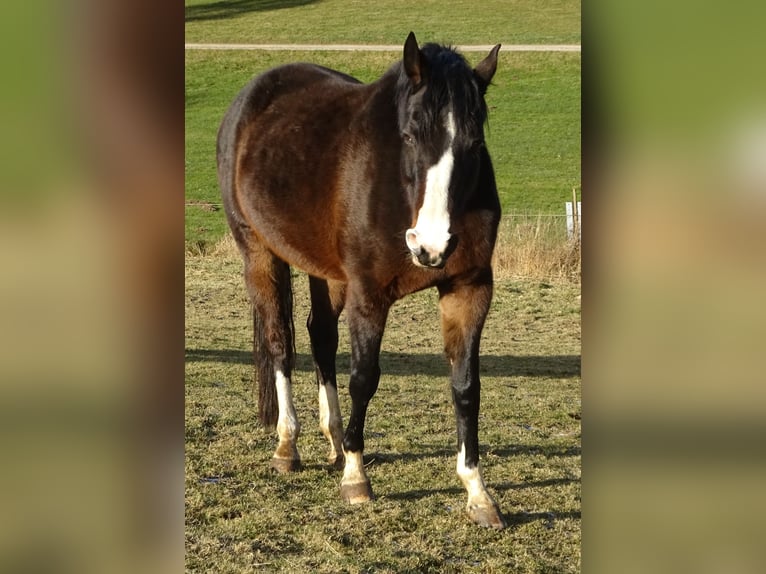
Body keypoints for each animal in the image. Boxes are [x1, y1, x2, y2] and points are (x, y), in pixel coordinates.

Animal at [216, 32, 508, 532]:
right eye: (409, 135)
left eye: (474, 142)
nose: (430, 245)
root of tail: (248, 99)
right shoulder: (368, 294)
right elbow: (364, 378)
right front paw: (356, 478)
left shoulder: (470, 290)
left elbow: (466, 387)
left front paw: (477, 491)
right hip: (258, 252)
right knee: (279, 343)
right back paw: (288, 445)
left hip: (326, 273)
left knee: (319, 336)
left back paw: (332, 439)